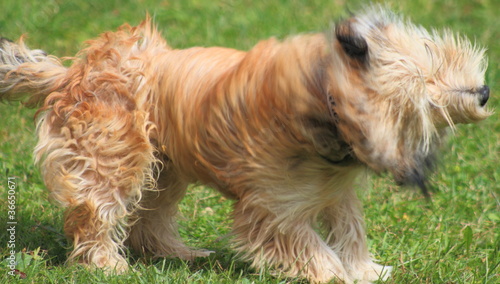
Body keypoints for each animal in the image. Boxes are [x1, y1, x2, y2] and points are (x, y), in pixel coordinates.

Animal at [0, 6, 492, 284]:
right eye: (422, 87)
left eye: (437, 55)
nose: (485, 92)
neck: (323, 101)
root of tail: (72, 73)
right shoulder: (271, 204)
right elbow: (302, 240)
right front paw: (331, 274)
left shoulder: (336, 191)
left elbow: (350, 227)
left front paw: (365, 270)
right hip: (115, 159)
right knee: (98, 212)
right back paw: (105, 264)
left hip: (166, 168)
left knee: (150, 216)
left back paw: (177, 254)